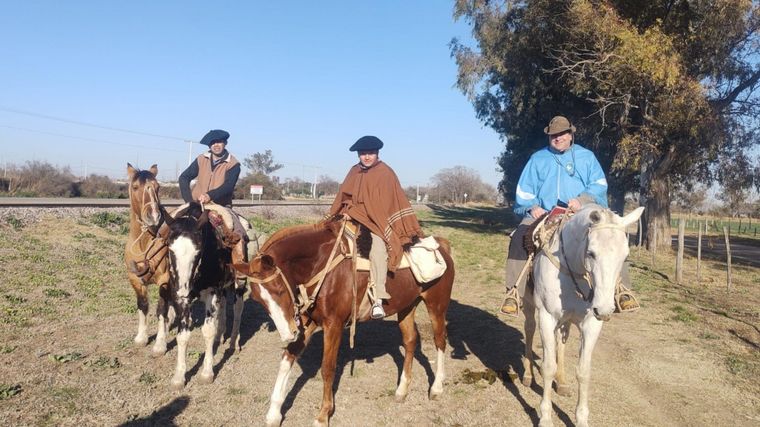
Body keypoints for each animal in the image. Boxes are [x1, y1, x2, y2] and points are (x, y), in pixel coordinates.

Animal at [232, 221, 454, 427]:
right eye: (258, 299)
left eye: (278, 288)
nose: (288, 333)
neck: (322, 264)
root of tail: (442, 245)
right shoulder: (308, 322)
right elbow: (287, 358)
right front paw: (274, 413)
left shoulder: (334, 325)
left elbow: (327, 368)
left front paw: (323, 415)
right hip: (407, 307)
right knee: (410, 341)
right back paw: (401, 390)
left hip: (437, 306)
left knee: (440, 341)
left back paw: (436, 387)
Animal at [524, 206, 640, 426]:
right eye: (591, 253)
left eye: (625, 257)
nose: (604, 309)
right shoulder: (546, 317)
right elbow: (548, 366)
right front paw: (545, 417)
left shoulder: (591, 324)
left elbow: (584, 372)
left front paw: (581, 418)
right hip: (529, 307)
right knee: (529, 331)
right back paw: (527, 375)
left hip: (565, 321)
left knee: (561, 340)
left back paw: (561, 381)